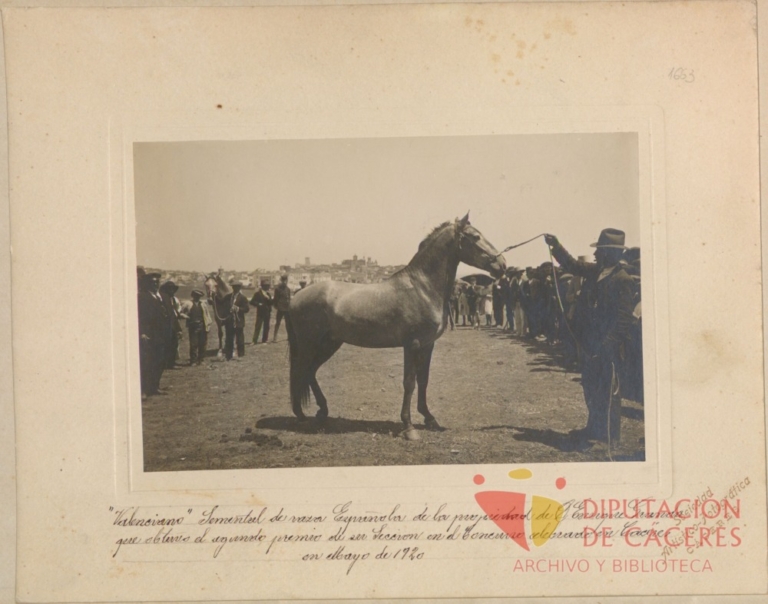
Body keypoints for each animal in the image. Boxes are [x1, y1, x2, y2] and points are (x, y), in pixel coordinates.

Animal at [287, 213, 507, 440]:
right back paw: (301, 415)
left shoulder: (428, 345)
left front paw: (429, 418)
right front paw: (409, 427)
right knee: (300, 371)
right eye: (475, 236)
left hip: (330, 343)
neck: (422, 288)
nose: (502, 264)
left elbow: (424, 380)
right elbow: (409, 382)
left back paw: (322, 411)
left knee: (310, 371)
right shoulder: (412, 344)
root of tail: (295, 297)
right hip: (309, 344)